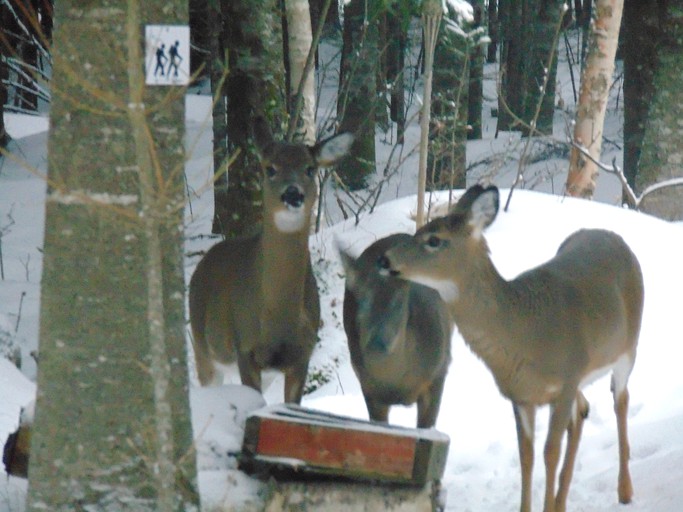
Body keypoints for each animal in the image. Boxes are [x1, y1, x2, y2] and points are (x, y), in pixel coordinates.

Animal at [190, 119, 356, 404]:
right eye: (270, 168)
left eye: (310, 168)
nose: (293, 194)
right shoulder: (245, 349)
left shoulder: (302, 356)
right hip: (202, 346)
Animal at [380, 186, 648, 512]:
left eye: (434, 240)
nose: (384, 259)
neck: (523, 332)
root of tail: (616, 239)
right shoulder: (522, 395)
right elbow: (527, 457)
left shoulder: (566, 381)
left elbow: (549, 452)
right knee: (583, 410)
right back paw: (563, 500)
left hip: (628, 348)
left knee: (620, 400)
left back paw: (625, 490)